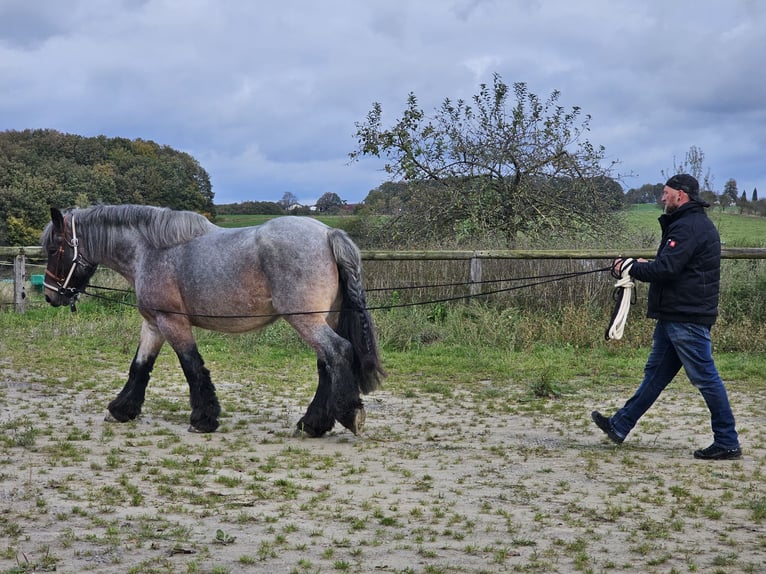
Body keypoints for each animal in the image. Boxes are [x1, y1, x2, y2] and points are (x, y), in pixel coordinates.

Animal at [42, 207, 384, 436]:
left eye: (54, 248)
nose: (50, 295)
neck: (150, 250)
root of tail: (328, 234)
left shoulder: (172, 322)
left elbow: (192, 366)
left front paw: (203, 419)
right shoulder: (153, 324)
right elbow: (139, 367)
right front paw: (121, 409)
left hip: (306, 321)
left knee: (338, 352)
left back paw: (347, 415)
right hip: (321, 319)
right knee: (326, 364)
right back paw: (312, 424)